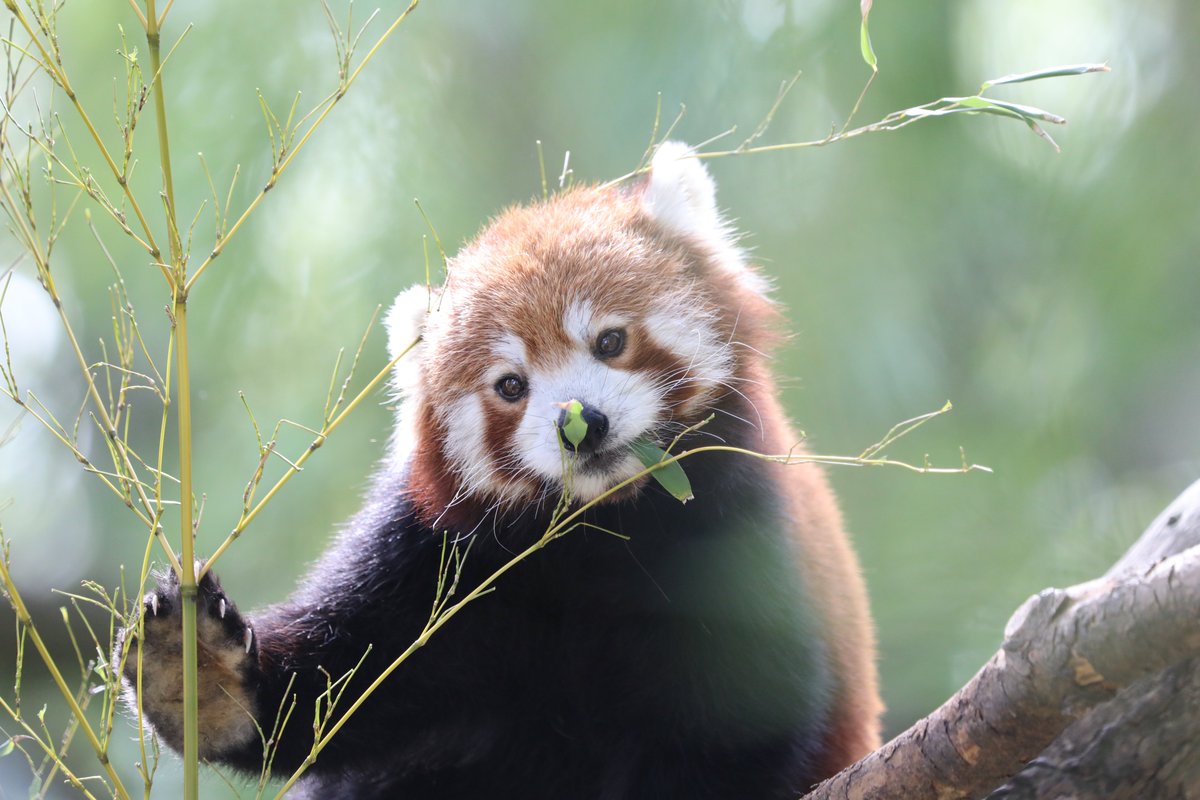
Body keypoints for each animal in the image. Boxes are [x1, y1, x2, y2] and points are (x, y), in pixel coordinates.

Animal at [122, 142, 883, 799]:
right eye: (510, 385)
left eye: (610, 341)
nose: (582, 425)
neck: (599, 532)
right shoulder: (435, 557)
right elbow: (340, 682)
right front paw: (199, 675)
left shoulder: (735, 537)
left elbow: (744, 725)